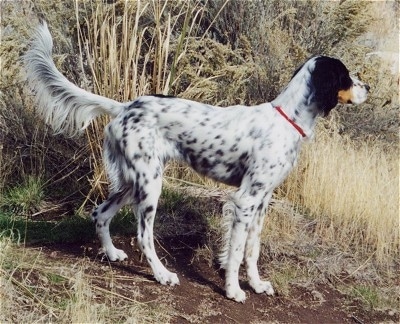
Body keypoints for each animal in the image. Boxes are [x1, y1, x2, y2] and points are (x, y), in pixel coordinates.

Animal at [24, 22, 368, 302]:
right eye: (346, 75)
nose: (368, 87)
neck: (287, 121)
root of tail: (124, 107)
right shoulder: (246, 200)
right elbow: (237, 251)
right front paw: (233, 291)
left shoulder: (263, 201)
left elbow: (252, 250)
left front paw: (257, 285)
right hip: (150, 185)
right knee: (143, 236)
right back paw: (162, 275)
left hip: (131, 182)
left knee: (99, 213)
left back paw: (112, 253)